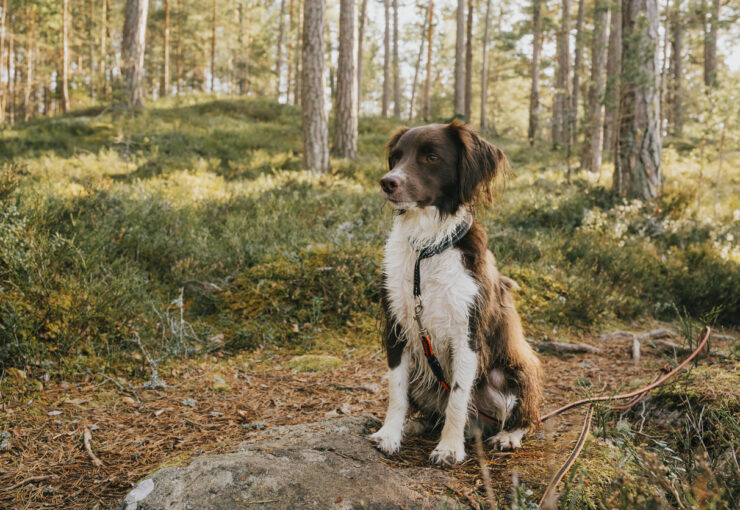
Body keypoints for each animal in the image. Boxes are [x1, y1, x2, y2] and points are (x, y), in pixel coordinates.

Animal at [370, 121, 544, 464]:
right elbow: (396, 391)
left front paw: (450, 447)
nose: (387, 182)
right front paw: (390, 434)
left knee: (525, 417)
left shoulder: (467, 334)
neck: (427, 249)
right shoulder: (397, 326)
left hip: (512, 376)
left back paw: (508, 436)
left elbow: (458, 399)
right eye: (396, 157)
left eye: (432, 157)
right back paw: (418, 423)